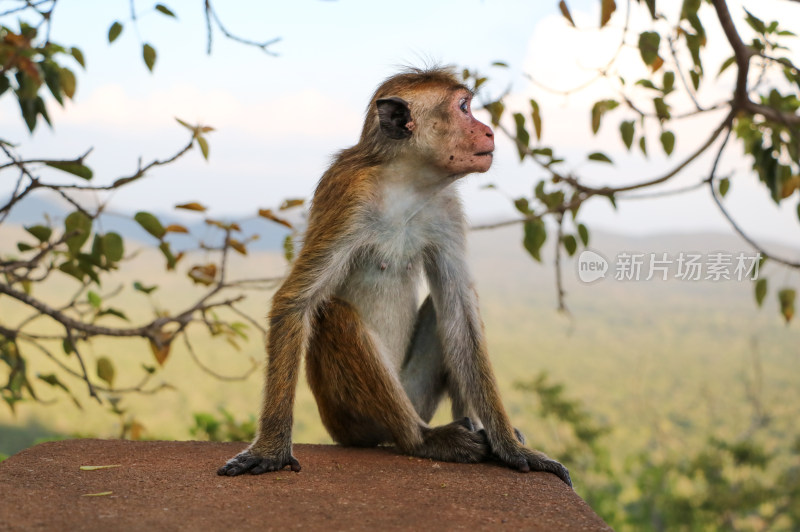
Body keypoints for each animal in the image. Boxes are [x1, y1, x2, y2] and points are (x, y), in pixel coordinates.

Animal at [216, 66, 572, 486]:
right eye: (464, 107)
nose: (487, 131)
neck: (406, 183)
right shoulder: (348, 196)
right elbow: (295, 301)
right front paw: (271, 451)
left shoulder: (446, 208)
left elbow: (460, 311)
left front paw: (511, 448)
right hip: (349, 419)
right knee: (335, 314)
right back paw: (422, 439)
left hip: (414, 391)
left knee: (441, 311)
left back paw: (468, 424)